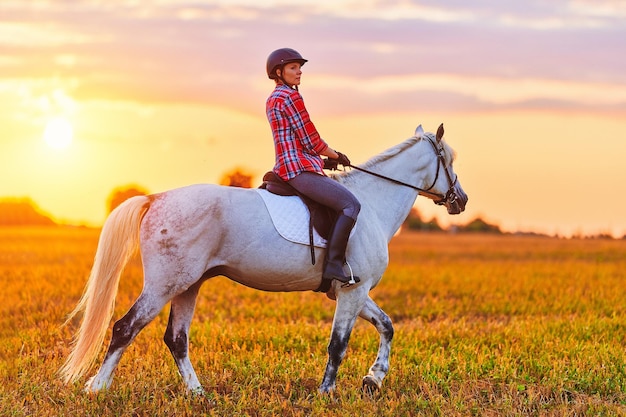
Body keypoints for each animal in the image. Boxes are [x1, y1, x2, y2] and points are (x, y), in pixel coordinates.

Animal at [61, 122, 466, 394]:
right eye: (449, 160)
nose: (460, 200)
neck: (372, 204)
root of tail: (156, 198)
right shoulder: (353, 292)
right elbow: (338, 345)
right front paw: (327, 393)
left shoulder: (353, 290)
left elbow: (387, 325)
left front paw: (373, 379)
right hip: (164, 285)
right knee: (125, 328)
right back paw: (97, 388)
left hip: (187, 286)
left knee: (176, 339)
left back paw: (198, 393)